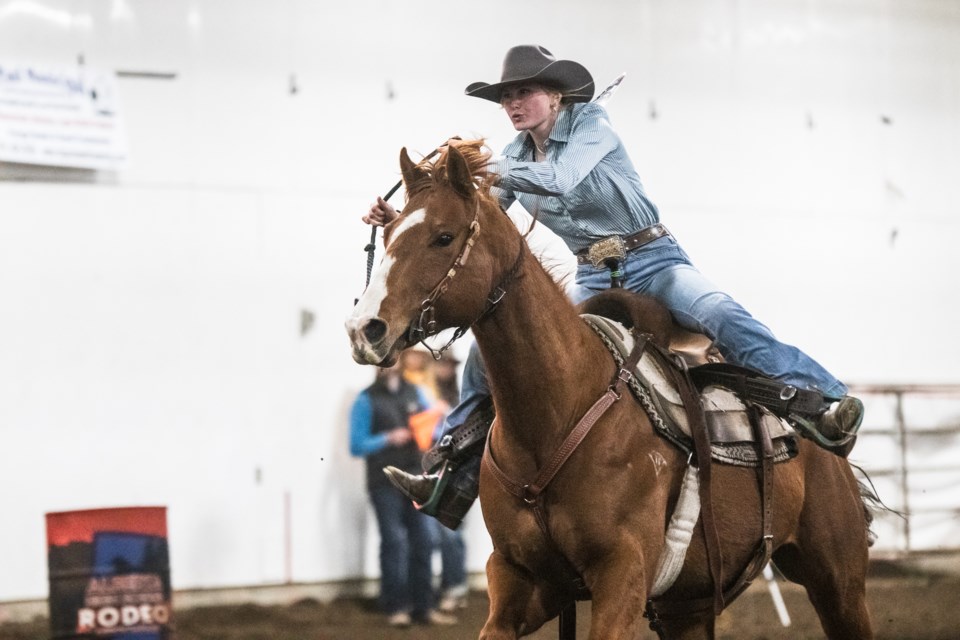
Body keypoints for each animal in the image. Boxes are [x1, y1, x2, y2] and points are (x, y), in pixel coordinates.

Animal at [346, 141, 876, 640]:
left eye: (443, 236)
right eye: (388, 235)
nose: (364, 329)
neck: (557, 415)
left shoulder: (623, 575)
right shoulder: (518, 578)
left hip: (839, 582)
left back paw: (833, 414)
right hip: (689, 606)